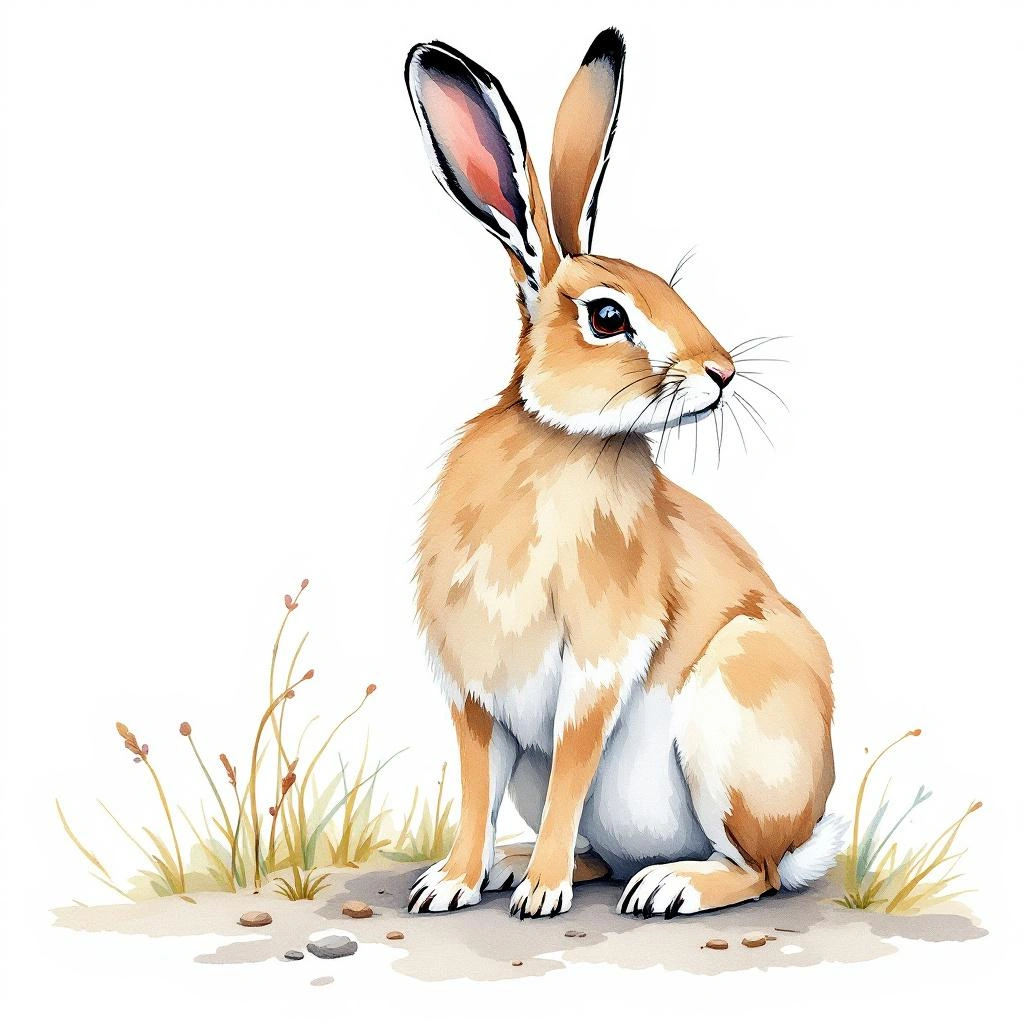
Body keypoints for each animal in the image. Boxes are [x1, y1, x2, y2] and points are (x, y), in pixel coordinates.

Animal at [404, 28, 842, 920]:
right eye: (608, 315)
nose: (722, 373)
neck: (560, 439)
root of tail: (808, 834)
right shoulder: (472, 687)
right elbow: (476, 787)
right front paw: (453, 882)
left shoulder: (600, 658)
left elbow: (574, 766)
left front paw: (540, 896)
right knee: (602, 849)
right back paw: (518, 866)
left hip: (733, 722)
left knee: (755, 871)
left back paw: (667, 885)